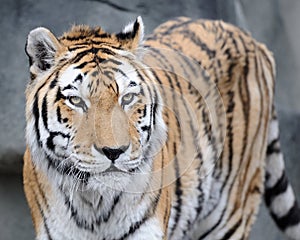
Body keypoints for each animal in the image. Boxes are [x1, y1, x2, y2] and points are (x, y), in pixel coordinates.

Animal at [23, 15, 300, 239]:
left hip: (231, 210)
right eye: (76, 101)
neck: (94, 206)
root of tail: (253, 41)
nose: (114, 152)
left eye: (127, 98)